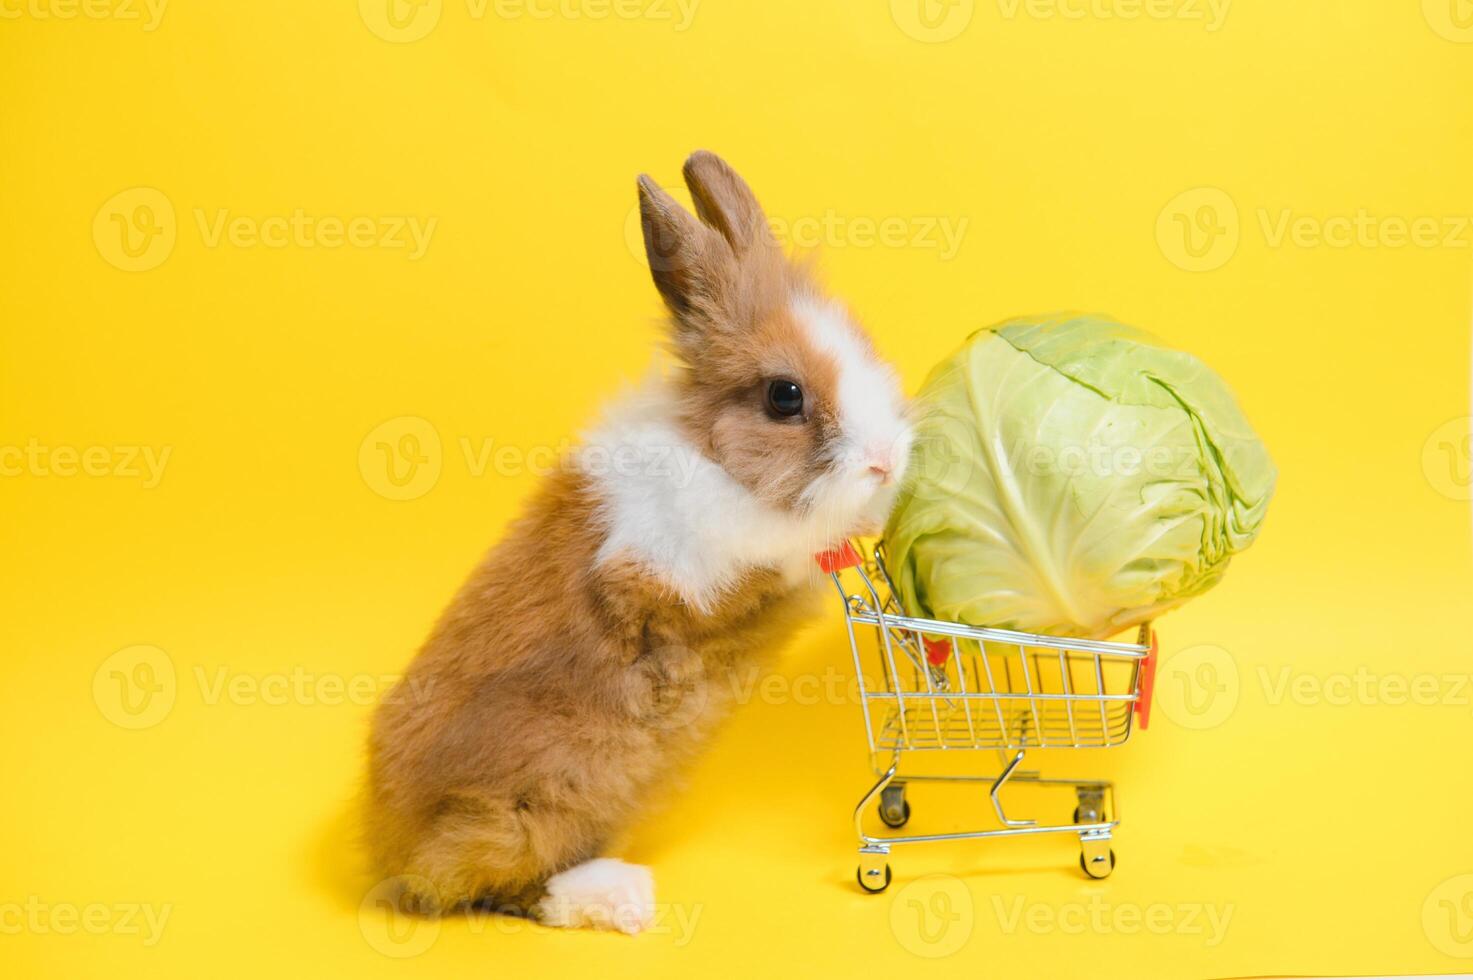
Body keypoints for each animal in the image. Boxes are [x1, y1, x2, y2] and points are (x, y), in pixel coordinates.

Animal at [365, 151, 907, 931]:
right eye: (784, 396)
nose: (887, 461)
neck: (714, 457)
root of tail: (385, 850)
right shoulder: (660, 571)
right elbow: (769, 556)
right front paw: (838, 537)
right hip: (544, 796)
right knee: (494, 887)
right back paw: (620, 898)